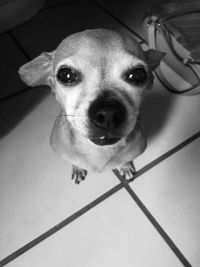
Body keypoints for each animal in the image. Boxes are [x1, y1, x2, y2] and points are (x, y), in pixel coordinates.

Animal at [18, 28, 165, 184]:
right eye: (67, 75)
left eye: (137, 75)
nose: (108, 113)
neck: (98, 151)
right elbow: (74, 161)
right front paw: (77, 168)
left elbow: (124, 160)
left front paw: (124, 166)